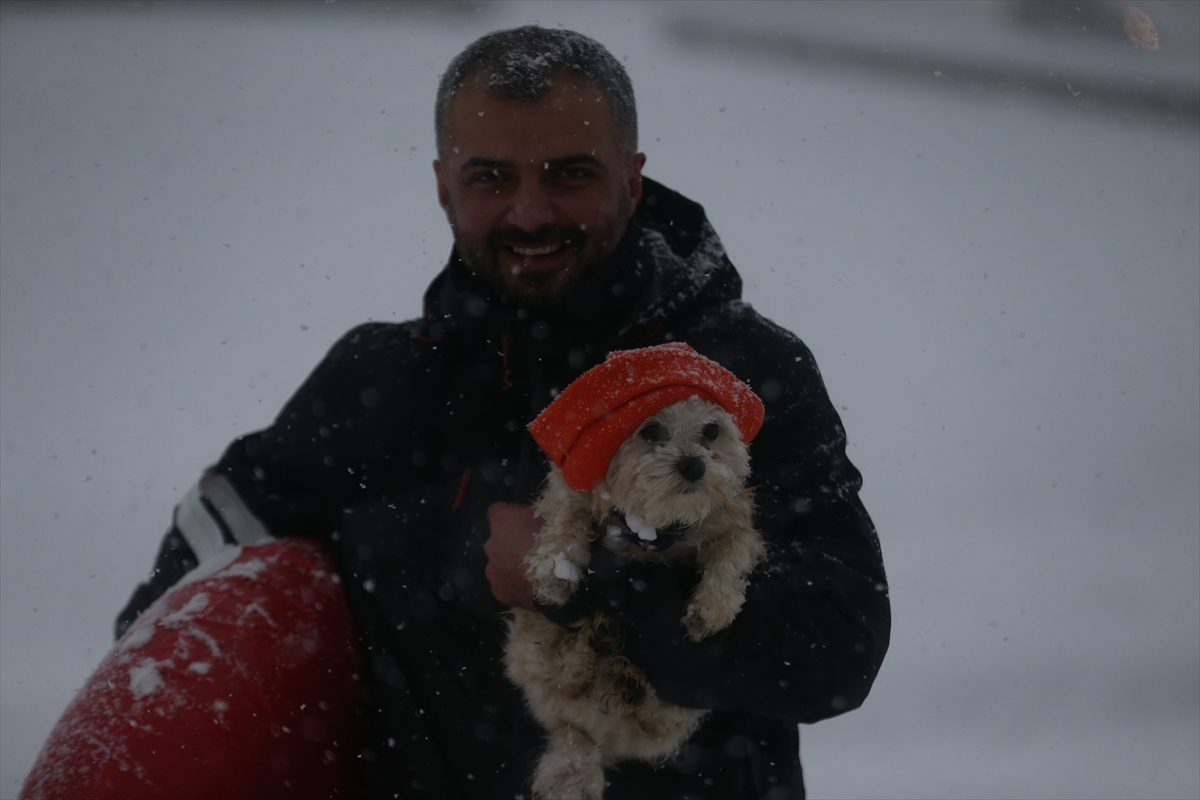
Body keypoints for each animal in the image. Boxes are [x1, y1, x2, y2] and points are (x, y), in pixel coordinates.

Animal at [506, 395, 768, 800]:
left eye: (712, 430)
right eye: (651, 430)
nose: (693, 465)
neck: (654, 526)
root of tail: (595, 735)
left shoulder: (733, 522)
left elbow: (733, 548)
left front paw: (711, 607)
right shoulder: (567, 492)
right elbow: (568, 515)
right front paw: (556, 568)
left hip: (681, 706)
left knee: (651, 719)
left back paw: (629, 683)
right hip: (530, 649)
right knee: (566, 677)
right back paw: (593, 647)